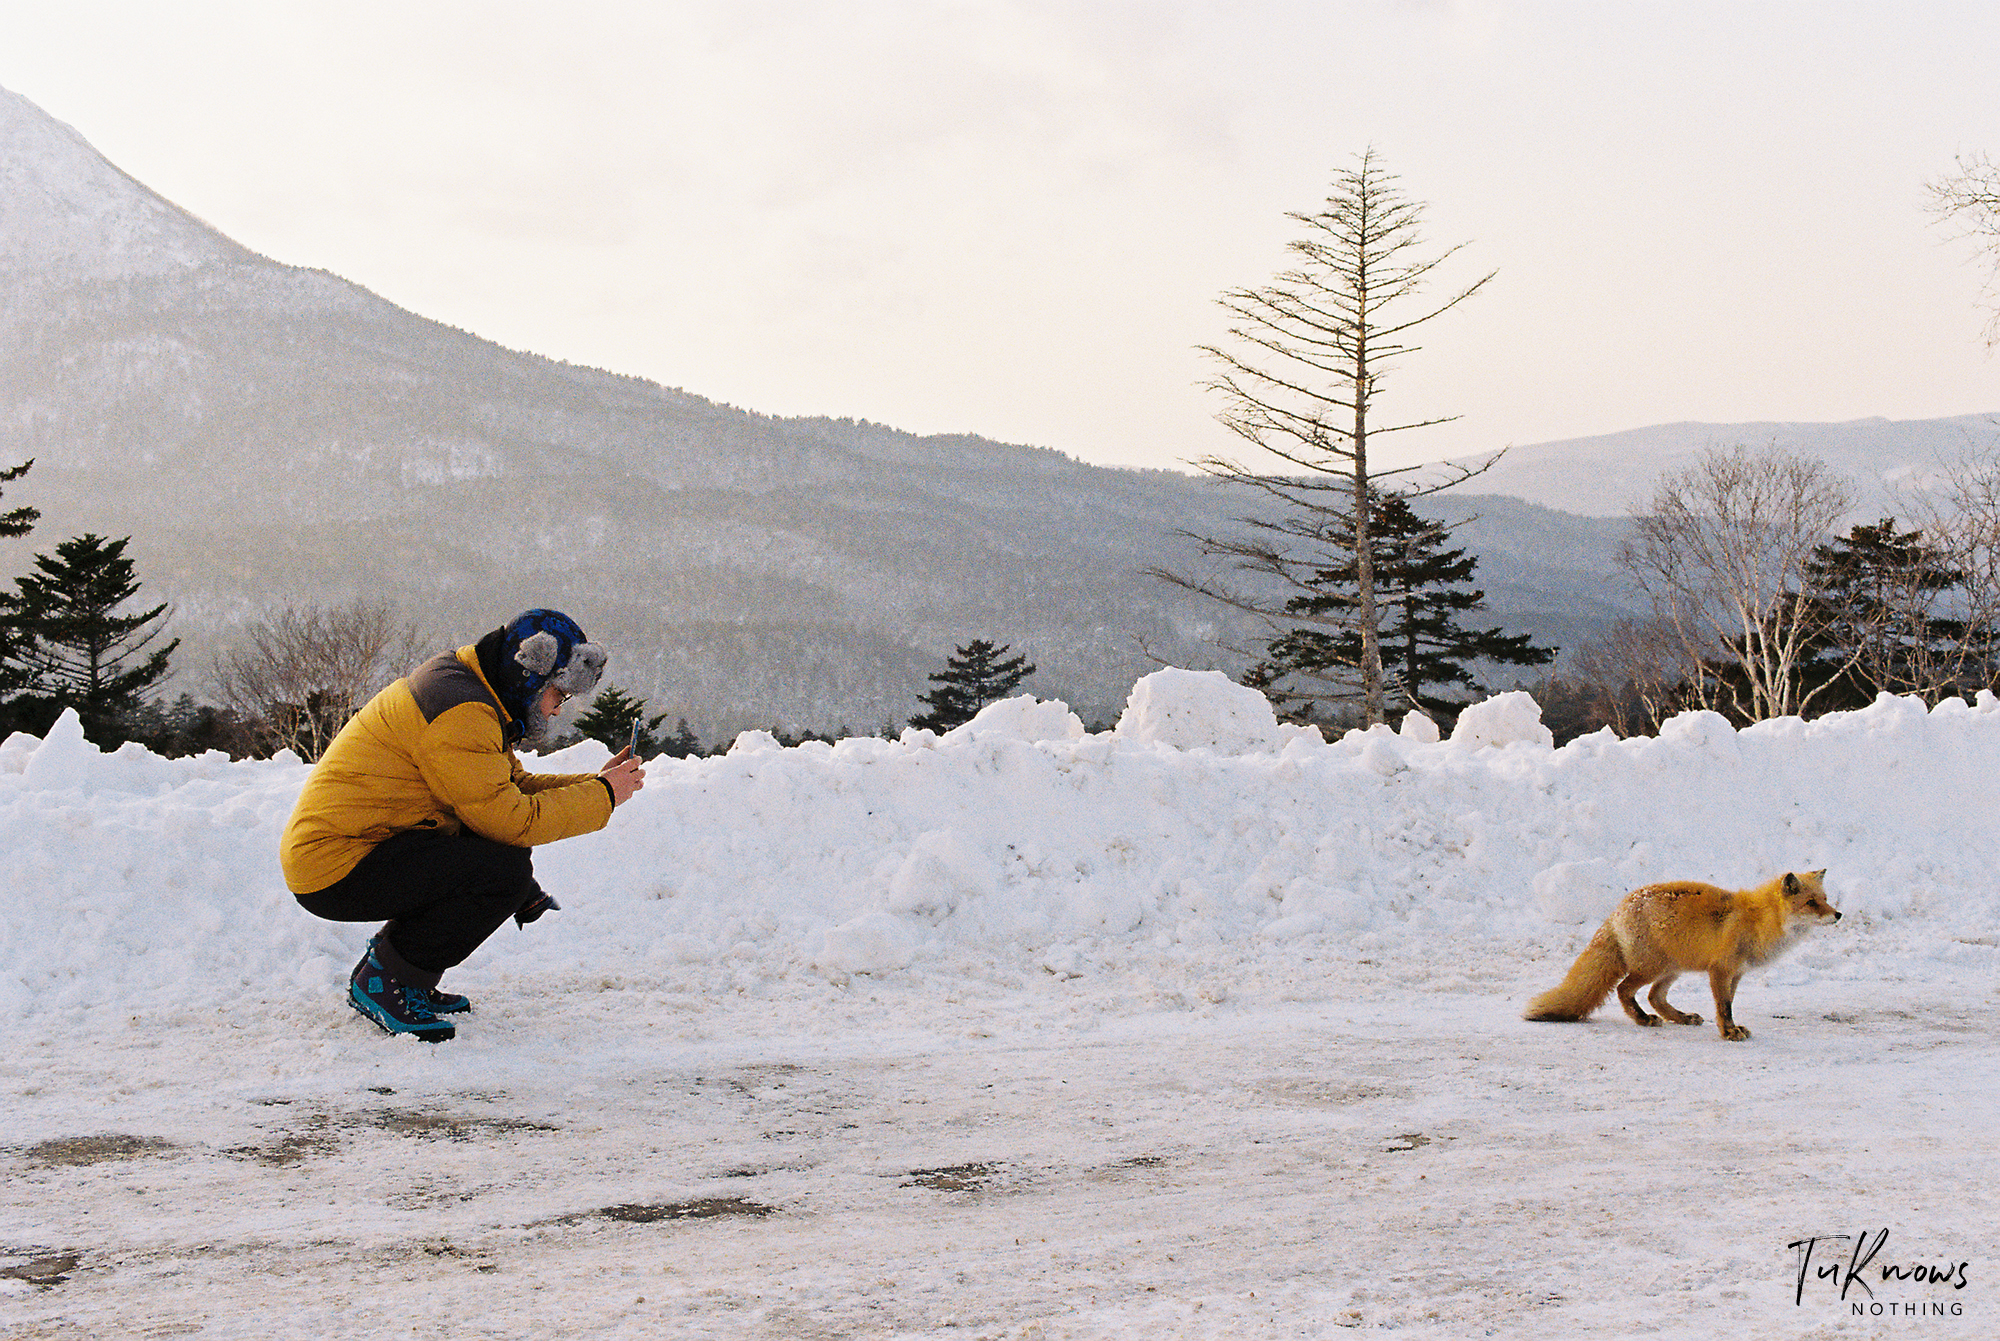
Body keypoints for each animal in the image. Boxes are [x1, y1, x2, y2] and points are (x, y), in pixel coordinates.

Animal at [1528, 872, 1840, 1048]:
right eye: (1811, 903)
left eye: (1825, 898)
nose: (1838, 914)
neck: (1760, 920)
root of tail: (1619, 909)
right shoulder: (1720, 970)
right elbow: (1724, 1007)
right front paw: (1728, 1033)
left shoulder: (1736, 973)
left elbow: (1729, 1004)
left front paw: (1732, 1028)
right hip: (1652, 968)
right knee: (1624, 989)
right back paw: (1643, 1019)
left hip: (1672, 969)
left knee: (1655, 996)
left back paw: (1681, 1017)